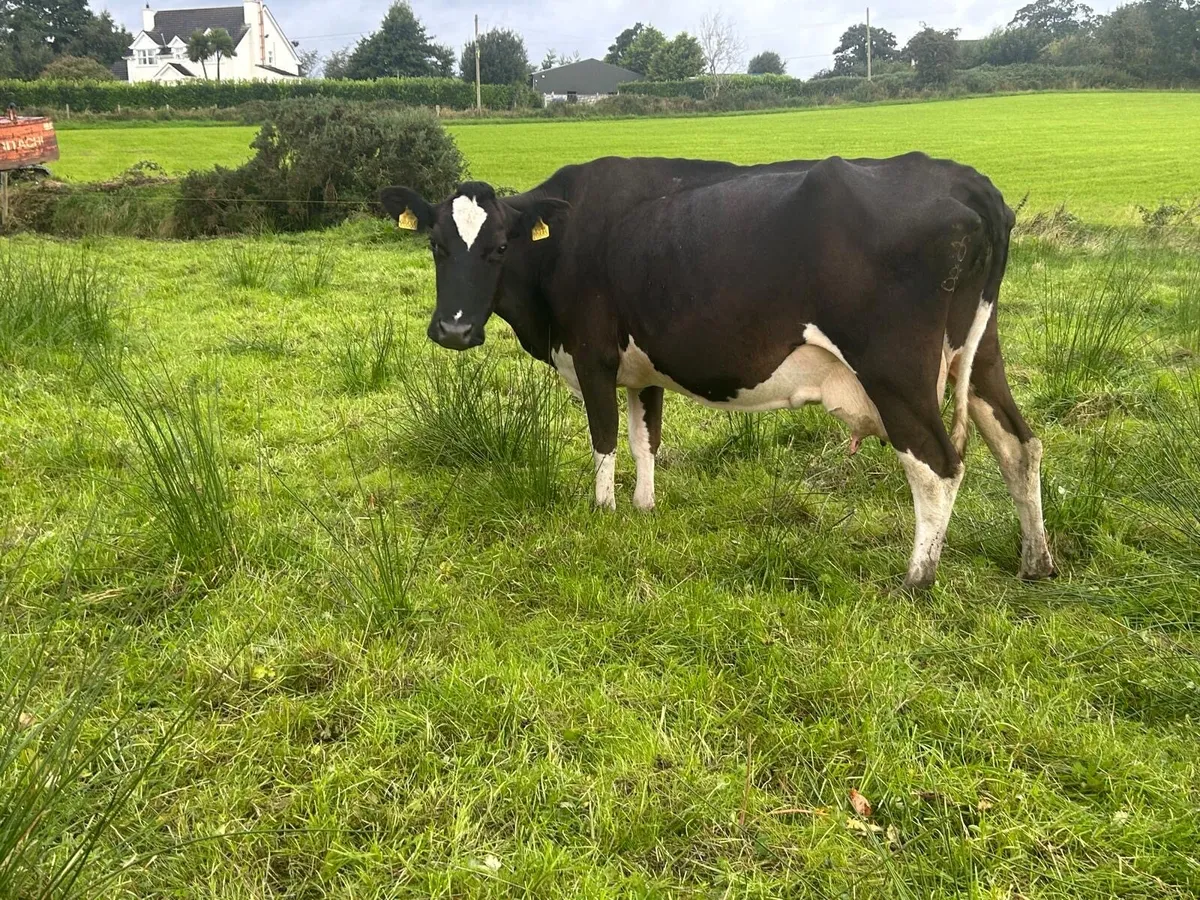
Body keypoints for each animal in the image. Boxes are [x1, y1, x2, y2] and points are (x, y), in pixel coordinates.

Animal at [379, 155, 1056, 588]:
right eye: (436, 245)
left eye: (499, 248)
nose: (454, 330)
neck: (564, 242)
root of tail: (964, 180)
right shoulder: (642, 370)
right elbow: (645, 440)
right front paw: (645, 509)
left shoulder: (594, 359)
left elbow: (604, 442)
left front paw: (604, 515)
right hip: (980, 354)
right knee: (1019, 445)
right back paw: (1036, 561)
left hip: (896, 369)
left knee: (937, 464)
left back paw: (918, 576)